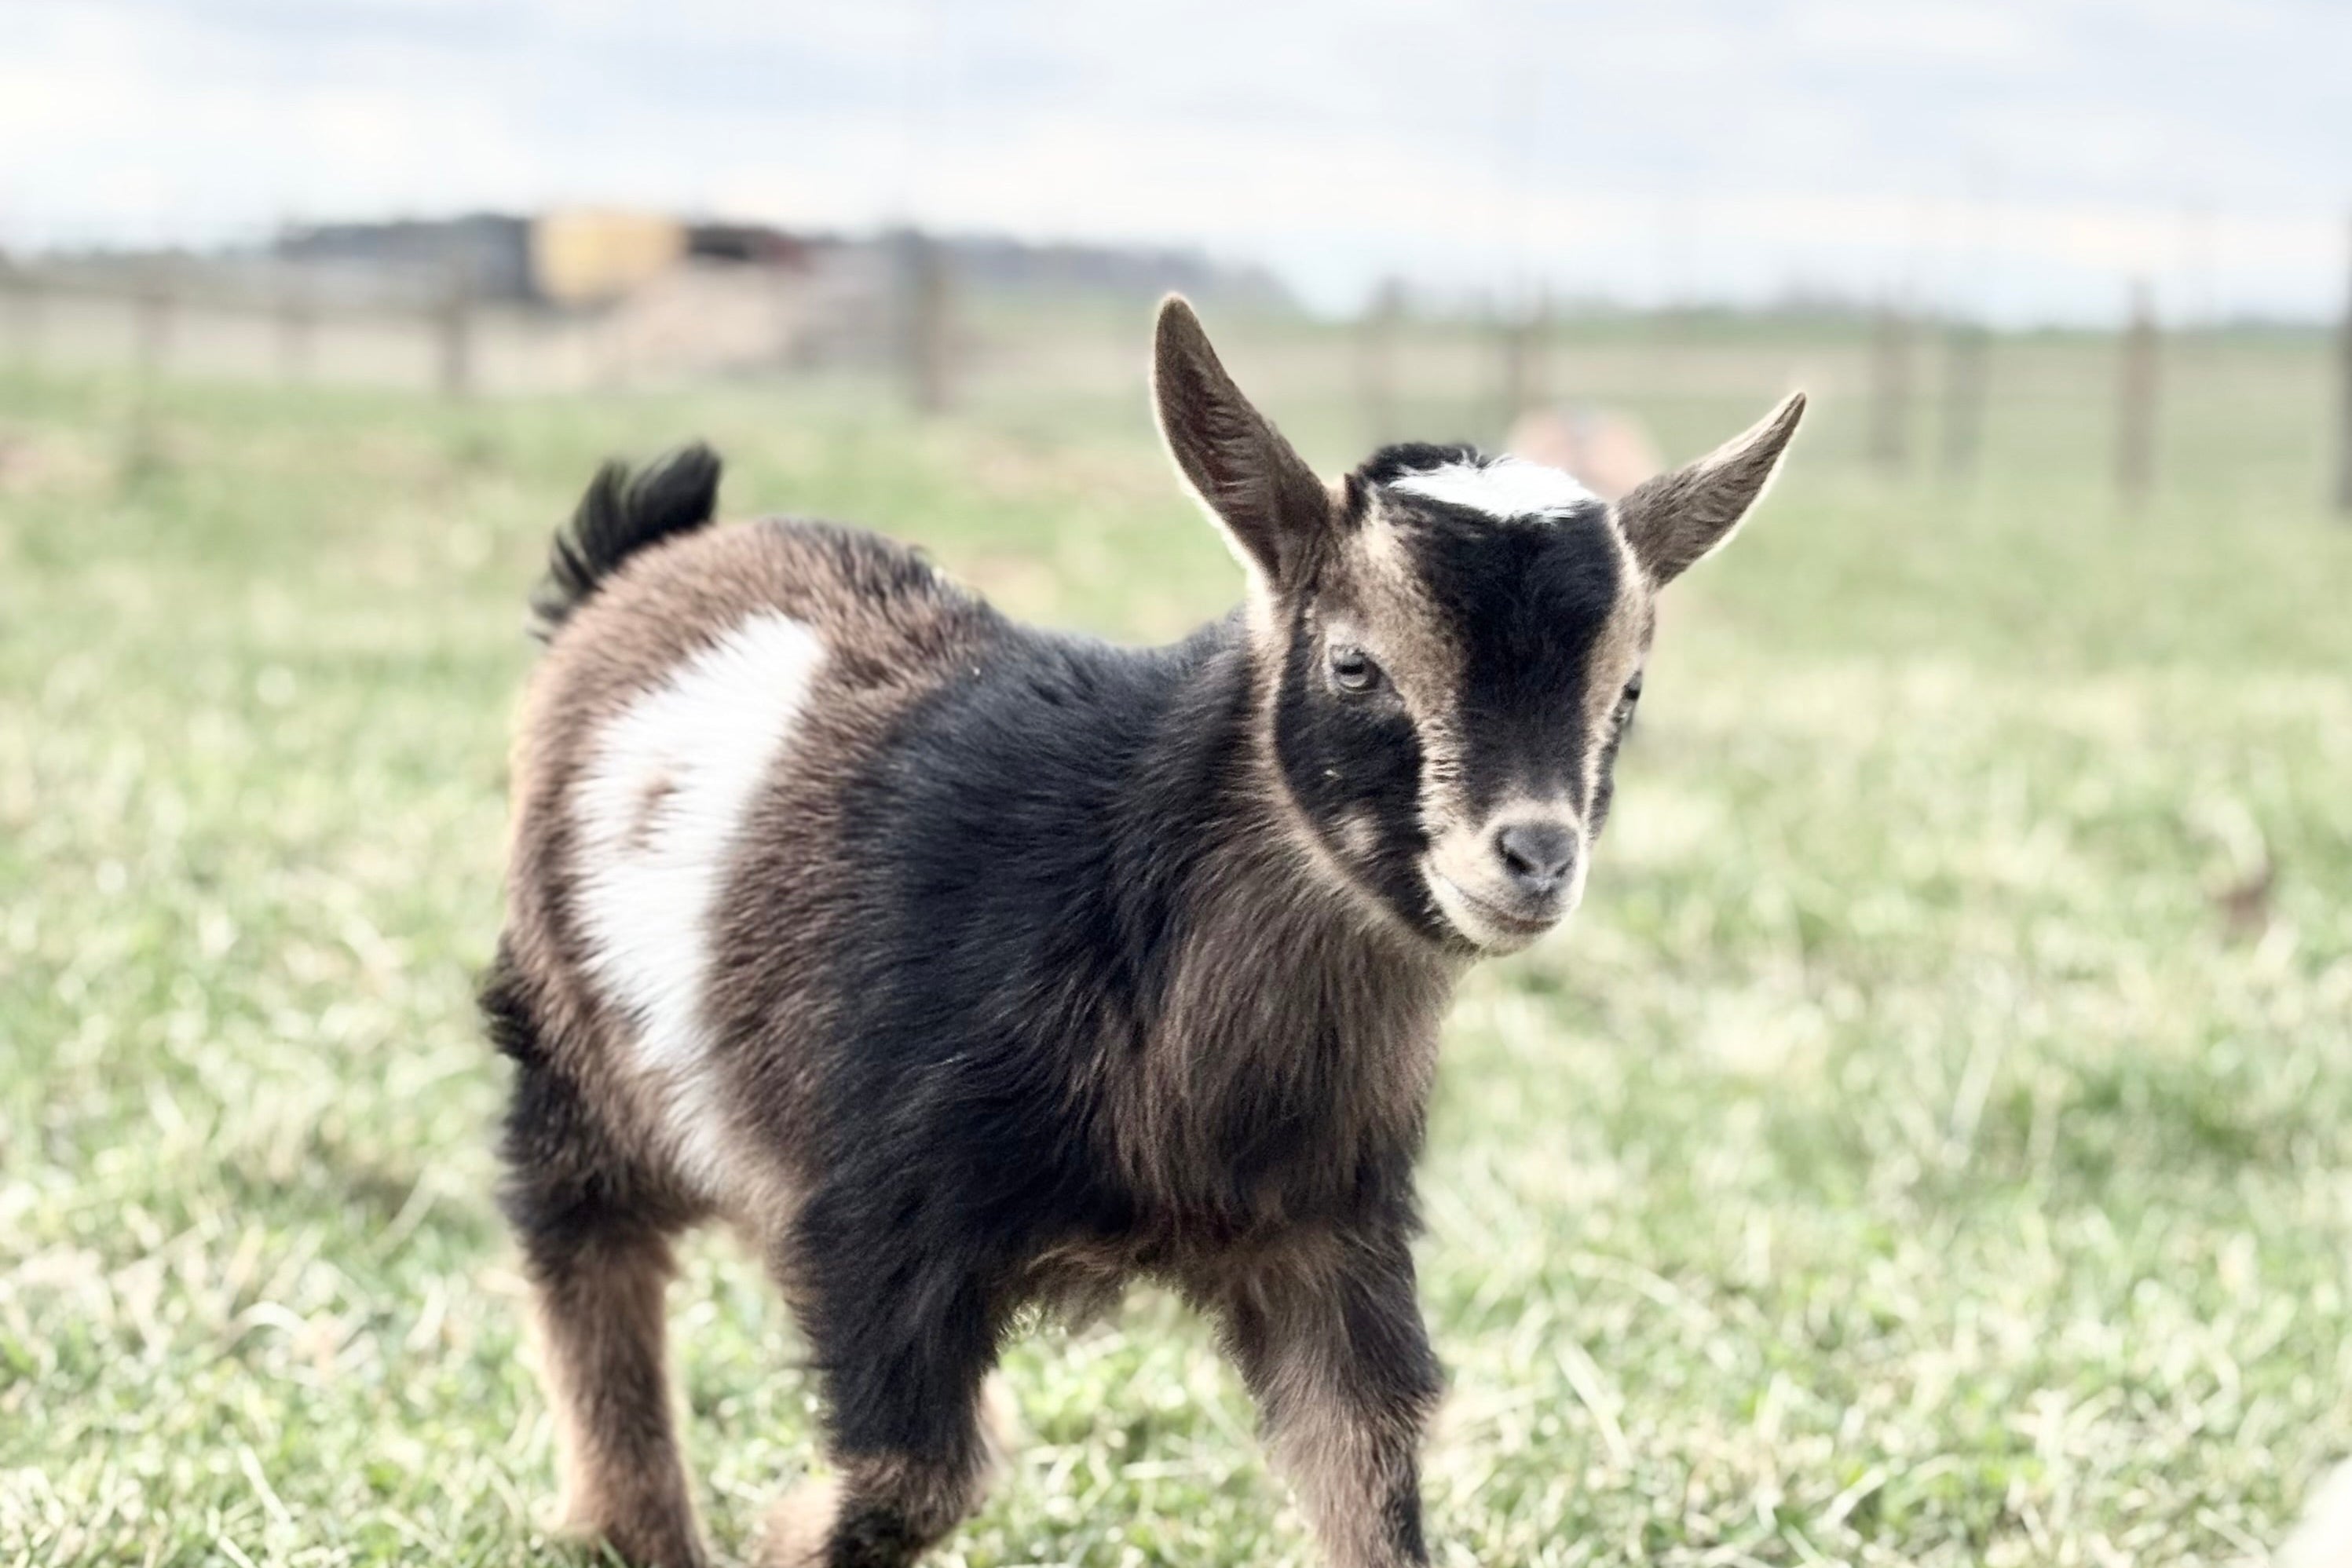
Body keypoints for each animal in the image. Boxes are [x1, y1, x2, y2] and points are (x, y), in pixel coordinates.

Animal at [481, 296, 1804, 1568]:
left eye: (1625, 691)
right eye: (1353, 664)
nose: (1532, 856)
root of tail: (647, 556)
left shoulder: (1332, 1243)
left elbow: (1370, 1491)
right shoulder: (880, 1221)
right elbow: (915, 1477)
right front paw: (781, 1539)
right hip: (571, 1048)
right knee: (579, 1241)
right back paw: (635, 1527)